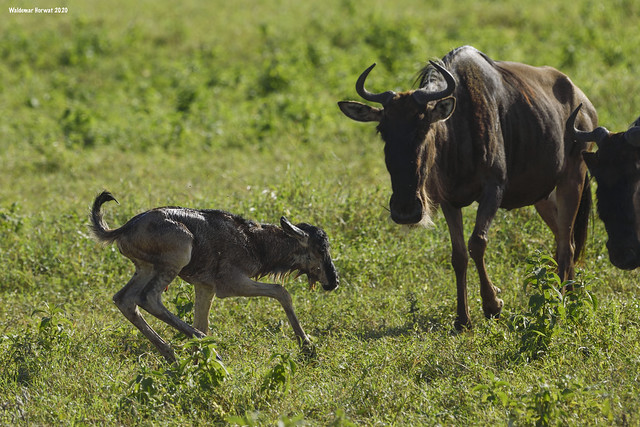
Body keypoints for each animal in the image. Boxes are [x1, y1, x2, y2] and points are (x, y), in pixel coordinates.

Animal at [92, 192, 340, 362]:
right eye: (320, 249)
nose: (334, 281)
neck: (254, 242)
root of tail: (124, 229)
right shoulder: (231, 285)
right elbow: (282, 292)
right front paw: (307, 345)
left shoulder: (205, 288)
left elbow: (203, 321)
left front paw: (199, 362)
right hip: (178, 254)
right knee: (149, 298)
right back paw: (203, 348)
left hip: (145, 268)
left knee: (124, 299)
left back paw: (173, 355)